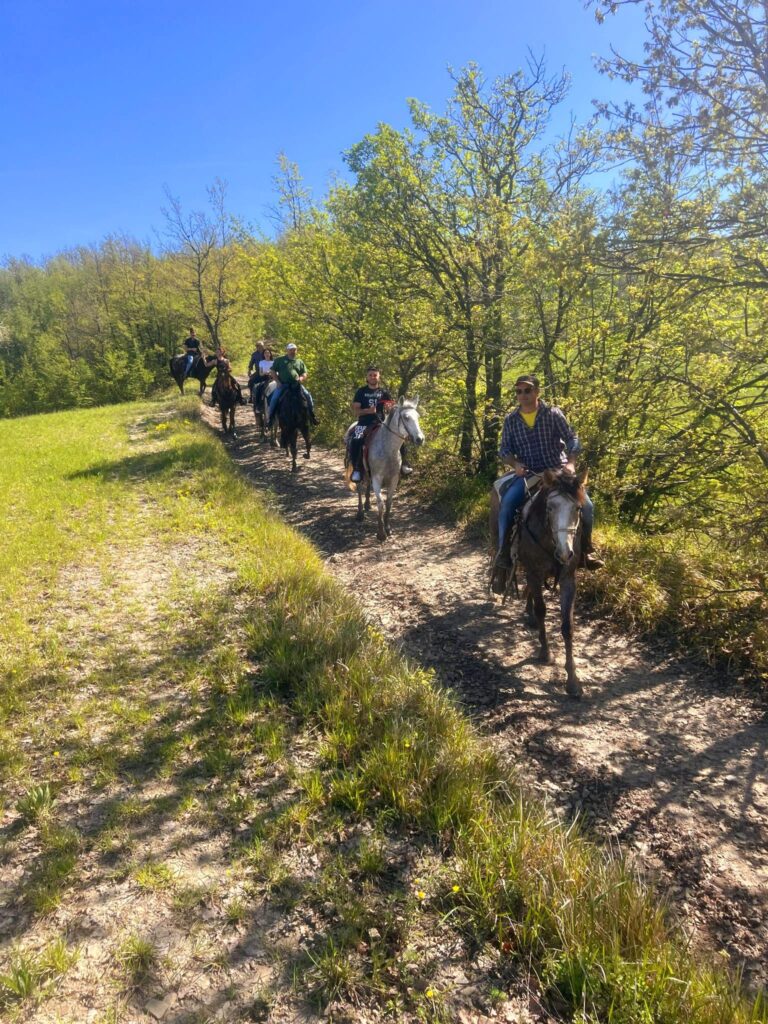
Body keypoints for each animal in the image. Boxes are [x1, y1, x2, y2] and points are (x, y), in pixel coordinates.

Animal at [348, 397, 428, 544]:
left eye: (418, 416)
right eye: (406, 417)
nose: (420, 439)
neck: (387, 449)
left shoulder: (394, 479)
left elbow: (389, 503)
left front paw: (388, 528)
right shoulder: (377, 479)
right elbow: (381, 504)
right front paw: (381, 534)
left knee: (366, 488)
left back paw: (367, 505)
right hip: (360, 471)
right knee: (360, 489)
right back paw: (360, 512)